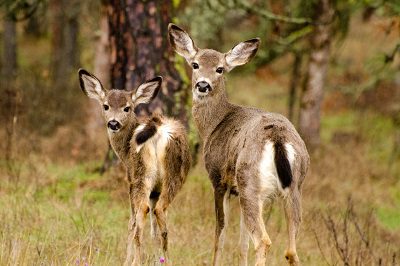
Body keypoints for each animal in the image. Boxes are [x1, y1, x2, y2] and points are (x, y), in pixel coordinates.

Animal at [79, 69, 191, 266]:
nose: (113, 123)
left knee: (142, 212)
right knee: (160, 213)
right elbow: (154, 231)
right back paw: (166, 260)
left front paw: (127, 260)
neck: (123, 153)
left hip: (141, 175)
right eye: (106, 106)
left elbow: (131, 223)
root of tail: (156, 128)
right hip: (172, 177)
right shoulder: (155, 190)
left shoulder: (129, 180)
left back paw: (136, 261)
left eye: (127, 108)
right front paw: (156, 259)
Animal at [168, 23, 310, 264]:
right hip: (294, 187)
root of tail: (278, 138)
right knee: (291, 250)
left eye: (220, 69)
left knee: (263, 241)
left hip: (249, 181)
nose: (203, 85)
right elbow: (242, 244)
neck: (214, 124)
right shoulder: (236, 190)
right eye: (195, 64)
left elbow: (220, 236)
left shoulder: (219, 180)